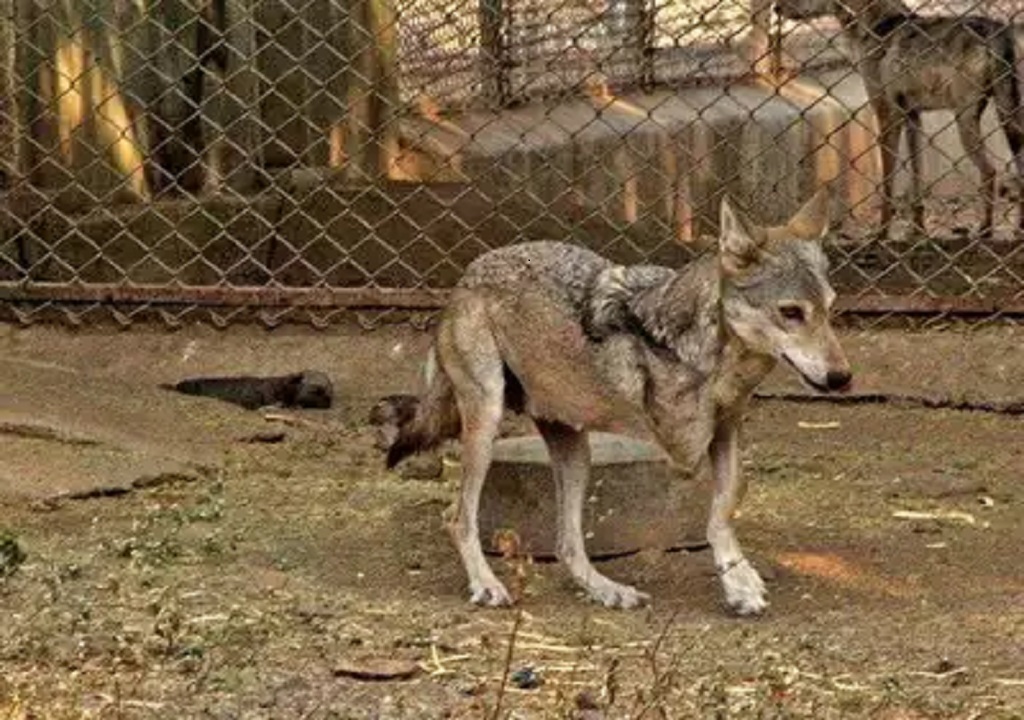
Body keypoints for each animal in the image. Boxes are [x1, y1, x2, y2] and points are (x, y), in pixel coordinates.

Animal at [380, 190, 851, 614]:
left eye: (830, 309)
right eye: (791, 312)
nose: (843, 378)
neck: (718, 357)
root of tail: (469, 273)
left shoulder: (727, 428)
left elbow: (730, 497)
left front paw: (740, 579)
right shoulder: (686, 447)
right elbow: (719, 510)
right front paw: (739, 584)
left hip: (575, 452)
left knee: (567, 544)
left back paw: (608, 591)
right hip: (487, 420)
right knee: (458, 517)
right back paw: (487, 585)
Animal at [774, 0, 1024, 237]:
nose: (776, 8)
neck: (879, 24)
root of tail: (998, 30)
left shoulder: (886, 115)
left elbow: (887, 185)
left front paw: (881, 234)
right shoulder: (913, 118)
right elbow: (917, 178)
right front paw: (917, 230)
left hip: (966, 120)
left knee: (990, 172)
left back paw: (986, 229)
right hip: (1008, 120)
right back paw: (1017, 229)